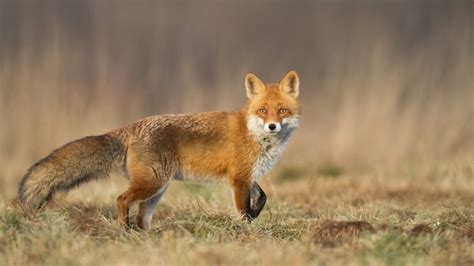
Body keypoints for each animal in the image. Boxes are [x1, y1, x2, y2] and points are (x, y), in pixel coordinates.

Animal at [19, 70, 300, 229]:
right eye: (263, 110)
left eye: (282, 110)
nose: (272, 126)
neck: (255, 134)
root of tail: (131, 127)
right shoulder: (239, 179)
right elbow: (243, 211)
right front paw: (247, 231)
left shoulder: (247, 175)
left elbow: (262, 197)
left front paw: (255, 214)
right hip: (152, 183)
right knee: (122, 200)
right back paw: (124, 231)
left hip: (157, 189)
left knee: (142, 218)